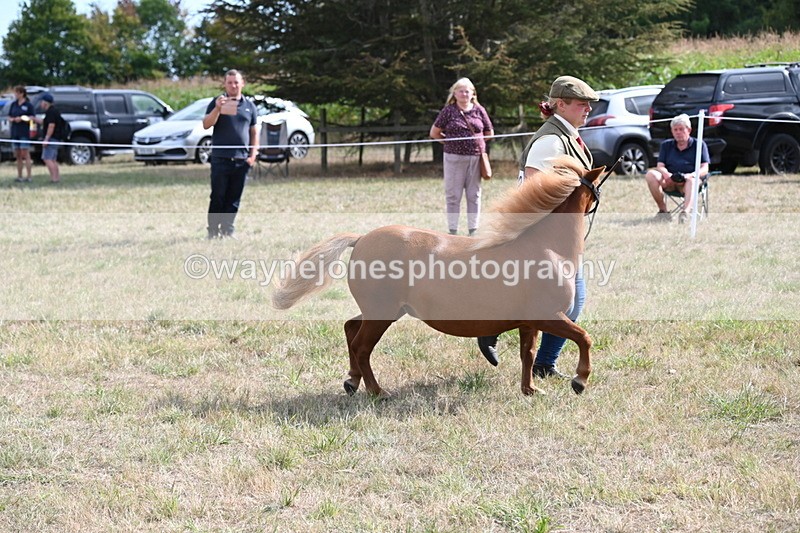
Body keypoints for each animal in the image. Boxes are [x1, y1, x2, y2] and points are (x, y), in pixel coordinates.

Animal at [272, 156, 606, 398]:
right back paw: (378, 392)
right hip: (381, 314)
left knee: (350, 328)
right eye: (597, 188)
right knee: (361, 347)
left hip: (382, 312)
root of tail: (362, 239)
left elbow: (528, 353)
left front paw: (530, 390)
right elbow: (584, 338)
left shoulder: (529, 322)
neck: (546, 248)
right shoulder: (550, 316)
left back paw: (352, 382)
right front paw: (579, 381)